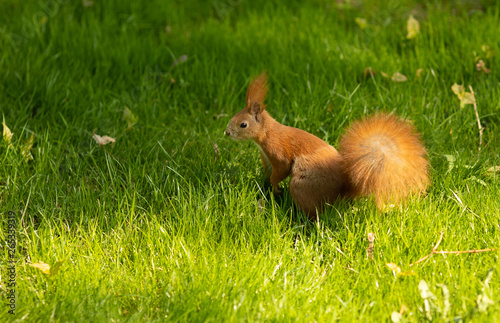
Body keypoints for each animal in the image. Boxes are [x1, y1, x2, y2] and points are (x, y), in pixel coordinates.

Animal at [227, 72, 430, 219]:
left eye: (243, 124)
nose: (227, 133)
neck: (267, 132)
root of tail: (344, 189)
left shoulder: (278, 152)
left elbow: (280, 171)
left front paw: (275, 188)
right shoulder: (265, 157)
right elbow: (267, 172)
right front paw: (265, 184)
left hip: (302, 184)